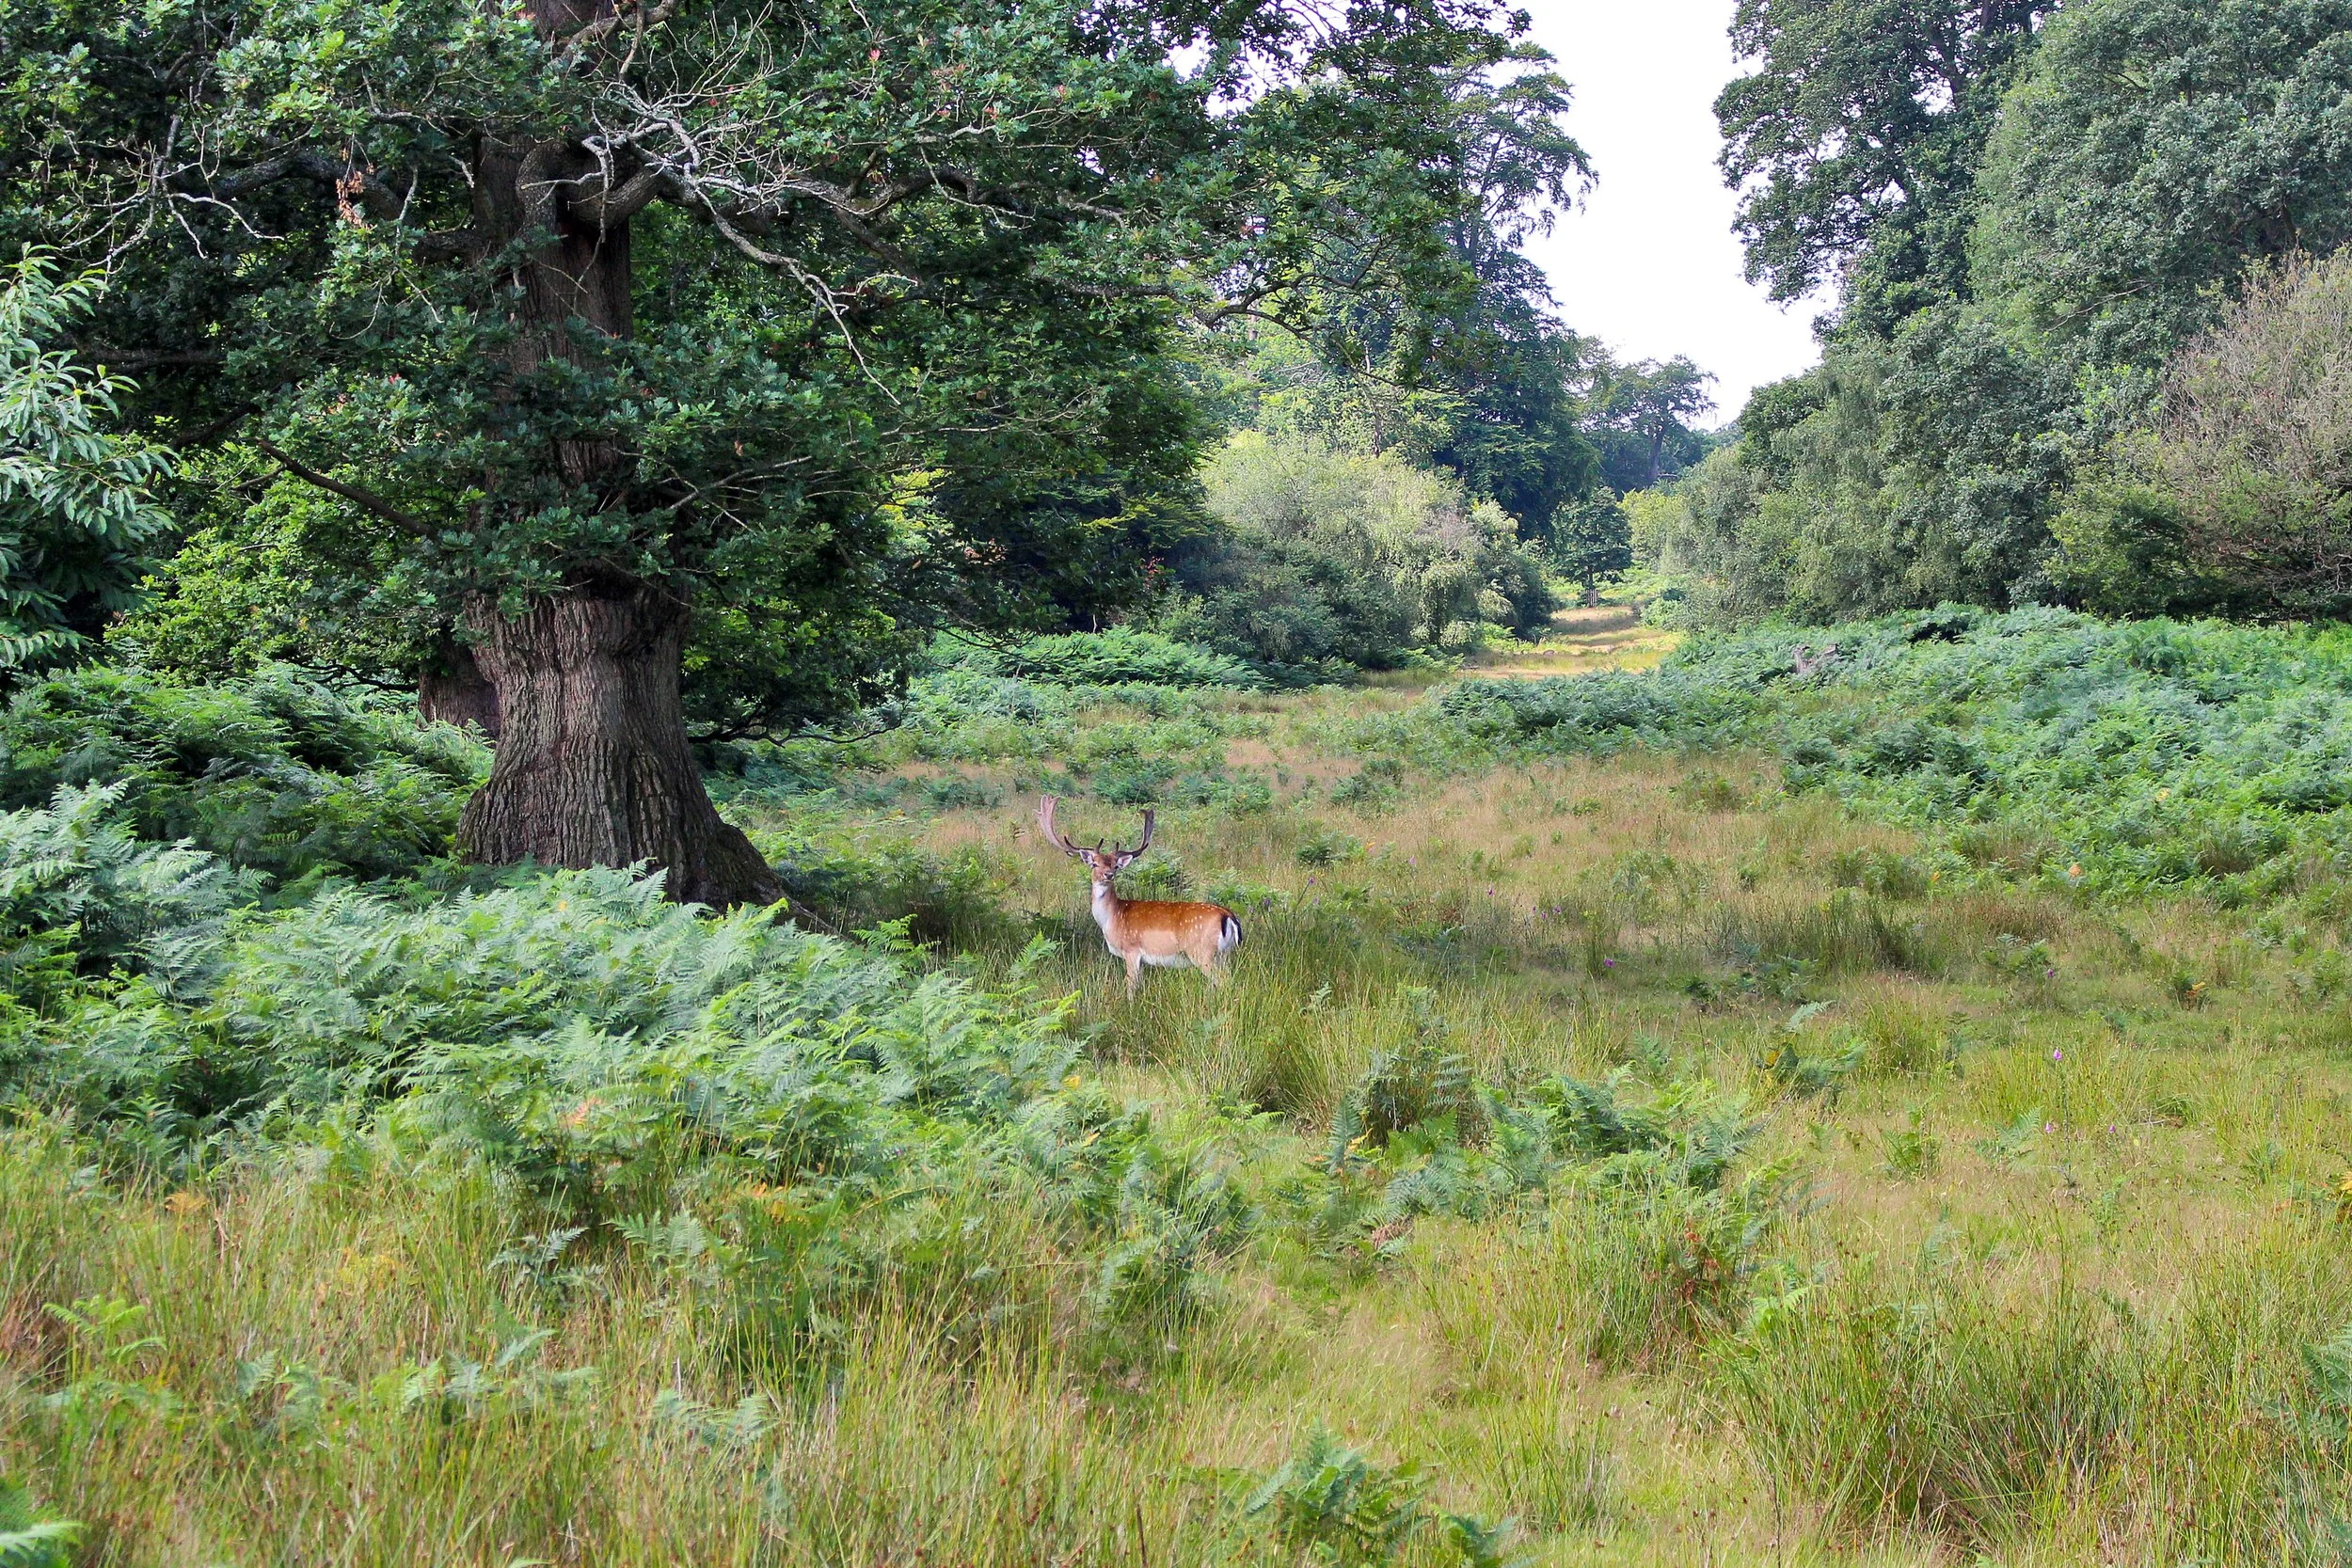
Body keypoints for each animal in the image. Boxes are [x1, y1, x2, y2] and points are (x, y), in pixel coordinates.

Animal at [1037, 796, 1242, 998]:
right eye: (1094, 864)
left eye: (1115, 865)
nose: (1108, 875)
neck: (1111, 919)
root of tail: (1228, 916)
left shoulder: (1131, 950)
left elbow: (1131, 986)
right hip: (1223, 955)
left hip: (1202, 952)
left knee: (1225, 981)